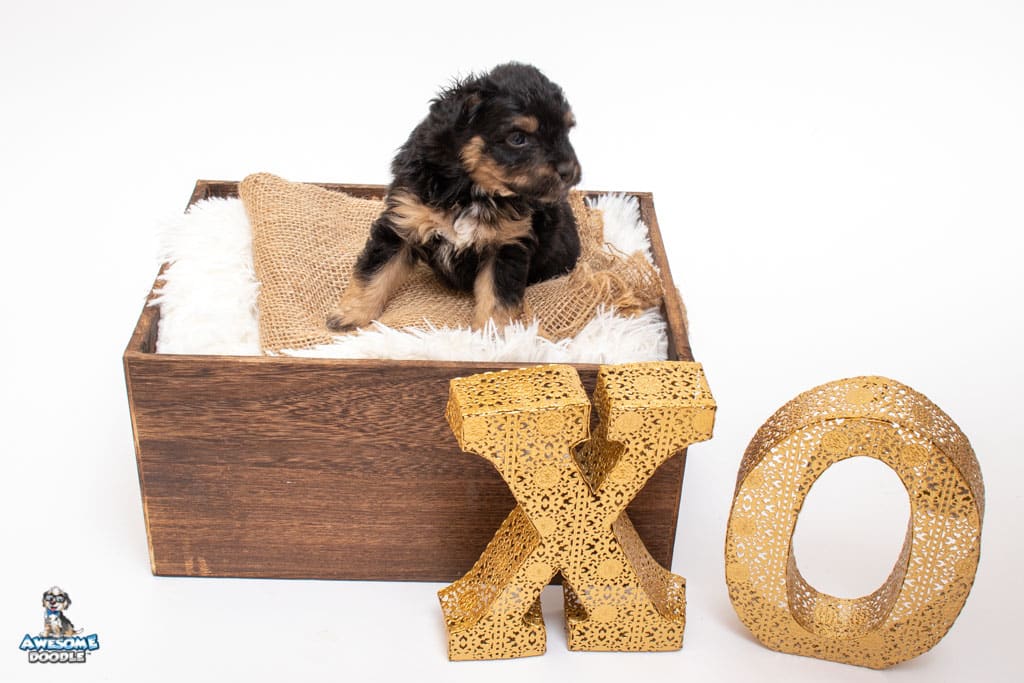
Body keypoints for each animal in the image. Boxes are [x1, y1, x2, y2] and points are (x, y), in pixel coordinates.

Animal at [327, 62, 582, 332]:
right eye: (517, 138)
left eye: (566, 132)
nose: (568, 171)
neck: (470, 191)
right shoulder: (402, 221)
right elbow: (374, 273)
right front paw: (350, 315)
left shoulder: (506, 245)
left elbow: (496, 297)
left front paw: (492, 333)